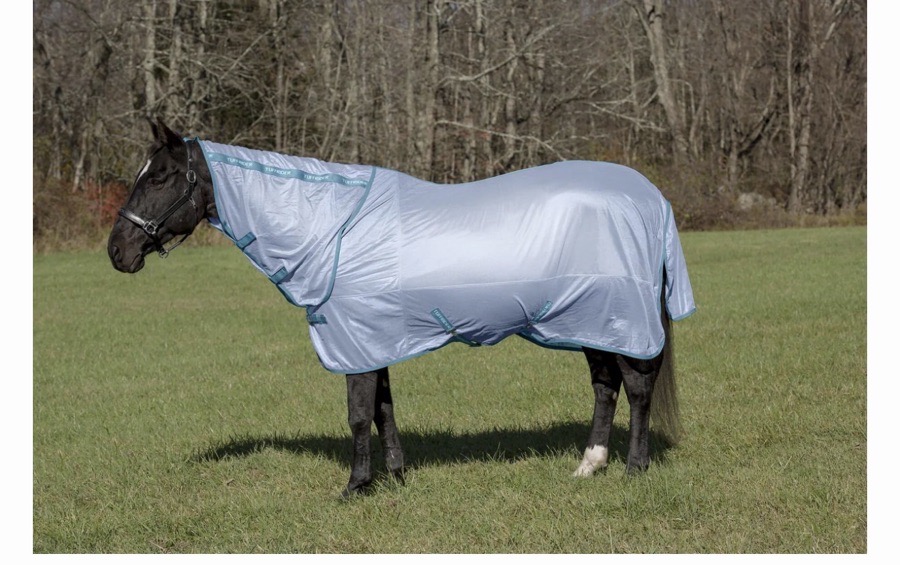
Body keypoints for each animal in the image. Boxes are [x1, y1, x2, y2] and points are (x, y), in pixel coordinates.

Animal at [108, 119, 696, 497]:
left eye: (158, 177)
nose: (118, 251)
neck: (332, 226)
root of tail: (650, 198)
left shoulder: (354, 337)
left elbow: (358, 413)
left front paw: (354, 486)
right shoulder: (372, 337)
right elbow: (384, 408)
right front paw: (394, 477)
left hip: (617, 318)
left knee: (637, 388)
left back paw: (633, 470)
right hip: (590, 321)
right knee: (605, 386)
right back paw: (588, 466)